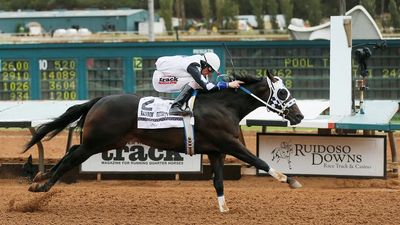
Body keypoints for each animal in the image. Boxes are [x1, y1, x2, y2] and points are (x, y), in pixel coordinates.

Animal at [22, 72, 304, 213]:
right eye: (282, 92)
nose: (298, 115)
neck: (223, 106)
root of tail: (99, 99)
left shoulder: (217, 151)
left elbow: (219, 181)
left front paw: (224, 209)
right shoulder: (229, 144)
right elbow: (259, 160)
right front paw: (290, 180)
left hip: (102, 143)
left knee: (70, 151)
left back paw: (40, 177)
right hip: (97, 143)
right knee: (71, 157)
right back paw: (42, 185)